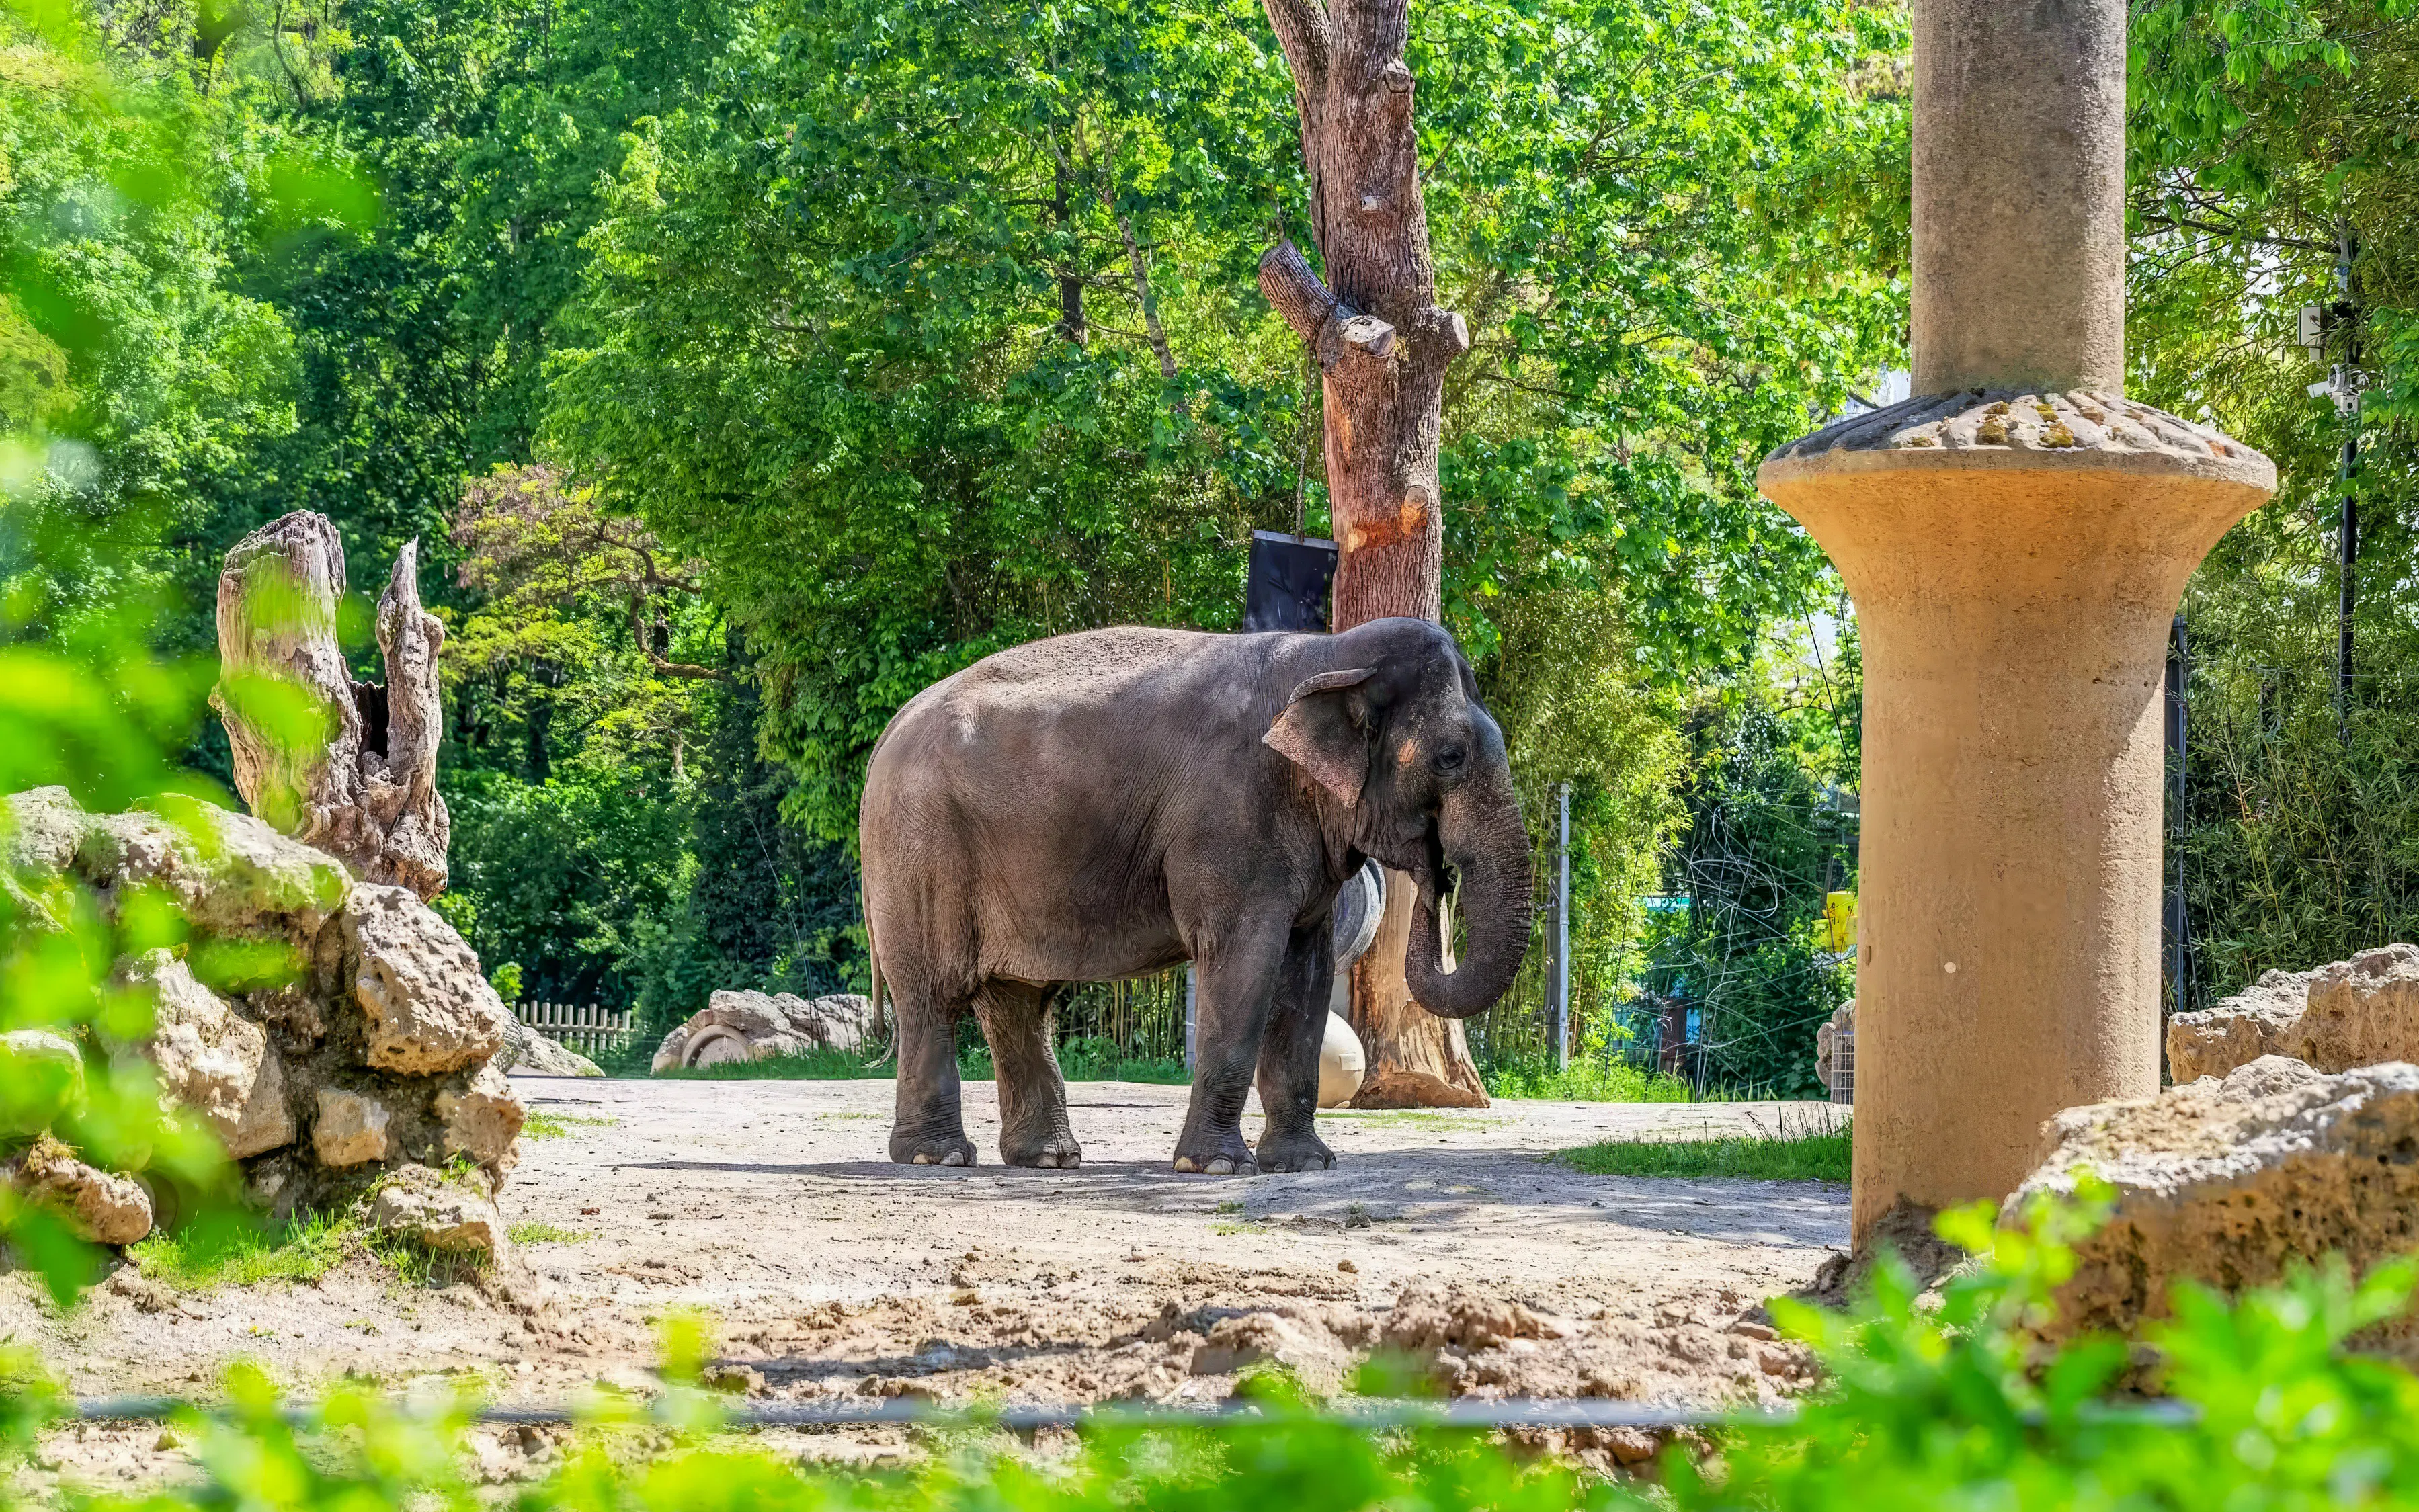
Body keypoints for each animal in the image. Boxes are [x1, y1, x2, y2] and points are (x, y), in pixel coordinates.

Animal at [858, 616, 1533, 1175]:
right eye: (1449, 757)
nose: (1437, 873)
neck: (1326, 654)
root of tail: (889, 731)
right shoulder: (1229, 817)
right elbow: (1242, 965)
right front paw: (1216, 1169)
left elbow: (1306, 976)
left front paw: (1305, 1165)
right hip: (921, 850)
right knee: (934, 994)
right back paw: (937, 1157)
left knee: (1016, 1001)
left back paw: (1046, 1159)